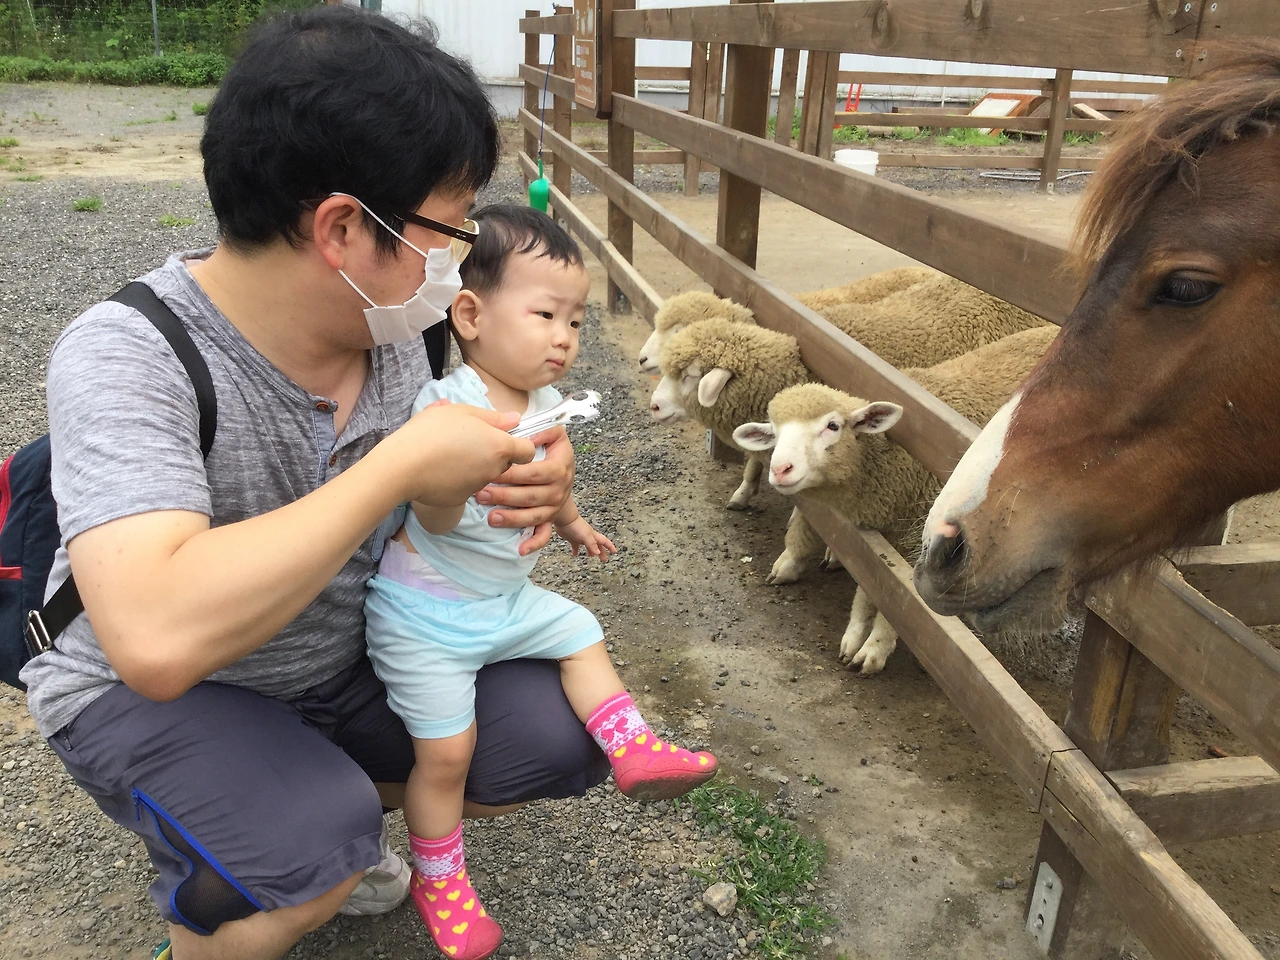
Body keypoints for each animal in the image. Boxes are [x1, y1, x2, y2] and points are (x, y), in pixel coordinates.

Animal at [732, 325, 1059, 675]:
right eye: (775, 433)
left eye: (833, 426)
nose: (780, 469)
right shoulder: (882, 538)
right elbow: (875, 585)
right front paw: (854, 636)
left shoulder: (922, 542)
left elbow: (906, 602)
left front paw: (875, 649)